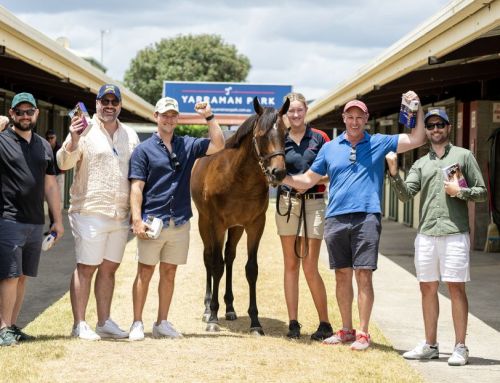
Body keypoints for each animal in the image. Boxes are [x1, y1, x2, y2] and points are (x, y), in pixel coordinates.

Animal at [191, 97, 290, 336]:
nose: (278, 173)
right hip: (204, 223)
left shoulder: (255, 224)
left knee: (230, 257)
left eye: (286, 134)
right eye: (261, 134)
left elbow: (251, 269)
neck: (238, 176)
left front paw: (255, 322)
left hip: (236, 228)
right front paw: (213, 318)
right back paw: (208, 309)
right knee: (210, 258)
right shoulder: (217, 224)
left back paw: (229, 308)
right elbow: (216, 265)